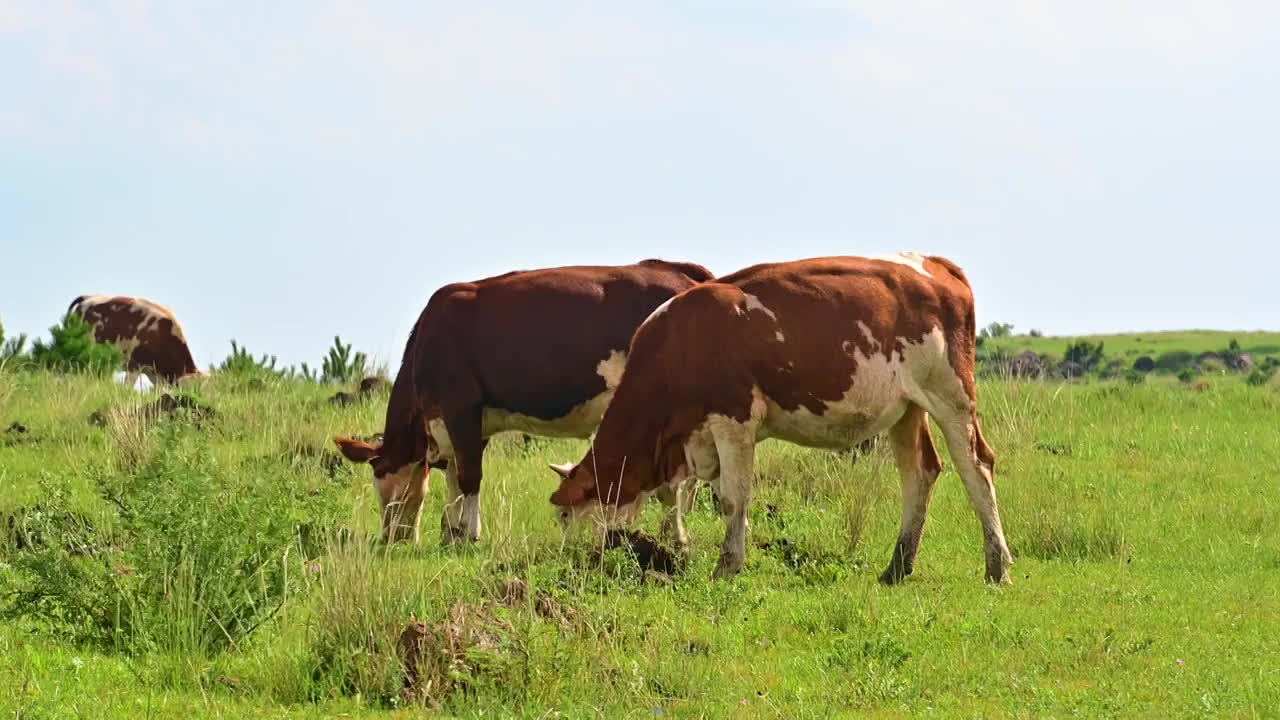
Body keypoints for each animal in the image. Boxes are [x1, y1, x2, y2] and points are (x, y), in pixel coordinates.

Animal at [330, 257, 716, 543]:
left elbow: (470, 476)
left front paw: (471, 535)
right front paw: (452, 532)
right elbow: (454, 478)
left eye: (385, 492)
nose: (392, 538)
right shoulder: (467, 423)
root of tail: (677, 271)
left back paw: (673, 535)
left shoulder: (461, 406)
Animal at [545, 252, 1013, 584]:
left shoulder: (734, 421)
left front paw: (727, 566)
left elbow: (733, 498)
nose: (573, 563)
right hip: (907, 408)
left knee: (976, 466)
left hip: (951, 395)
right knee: (920, 473)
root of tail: (933, 264)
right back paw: (897, 567)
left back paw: (997, 565)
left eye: (565, 516)